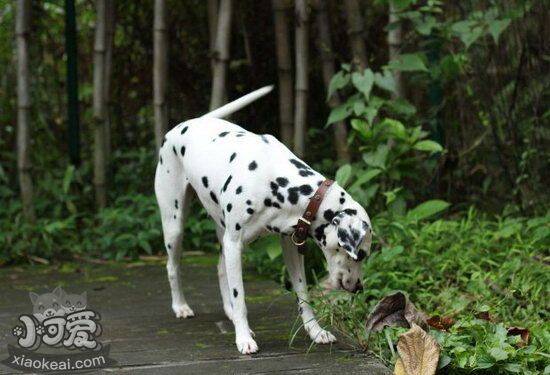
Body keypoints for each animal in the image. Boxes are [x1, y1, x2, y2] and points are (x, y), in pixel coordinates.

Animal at [153, 86, 374, 356]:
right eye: (361, 255)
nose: (359, 288)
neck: (278, 182)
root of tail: (188, 123)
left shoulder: (290, 246)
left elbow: (302, 294)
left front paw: (315, 331)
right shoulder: (235, 243)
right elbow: (240, 297)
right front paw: (243, 337)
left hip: (221, 232)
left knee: (220, 268)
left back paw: (228, 312)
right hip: (175, 227)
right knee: (172, 267)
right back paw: (181, 306)